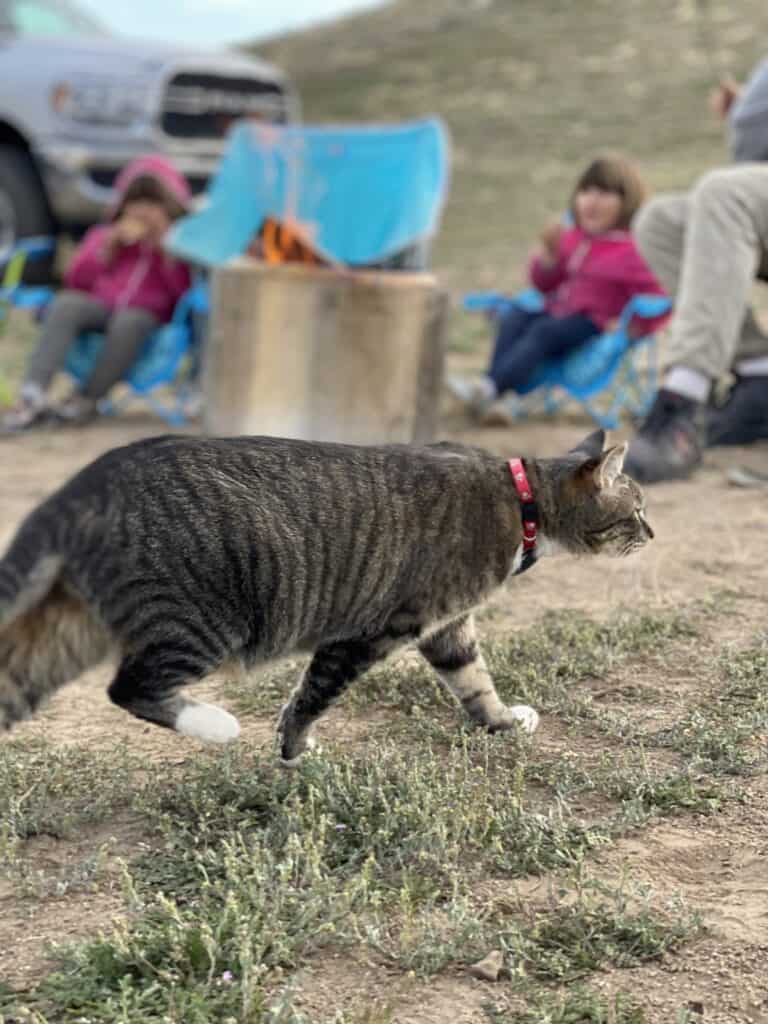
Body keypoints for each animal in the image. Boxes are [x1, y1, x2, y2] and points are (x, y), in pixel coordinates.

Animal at [0, 423, 651, 761]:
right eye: (638, 508)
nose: (652, 532)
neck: (521, 496)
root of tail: (95, 476)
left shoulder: (448, 628)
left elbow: (475, 682)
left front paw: (500, 724)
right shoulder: (376, 628)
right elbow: (313, 695)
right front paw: (292, 749)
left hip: (60, 636)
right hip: (203, 621)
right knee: (130, 686)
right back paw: (214, 724)